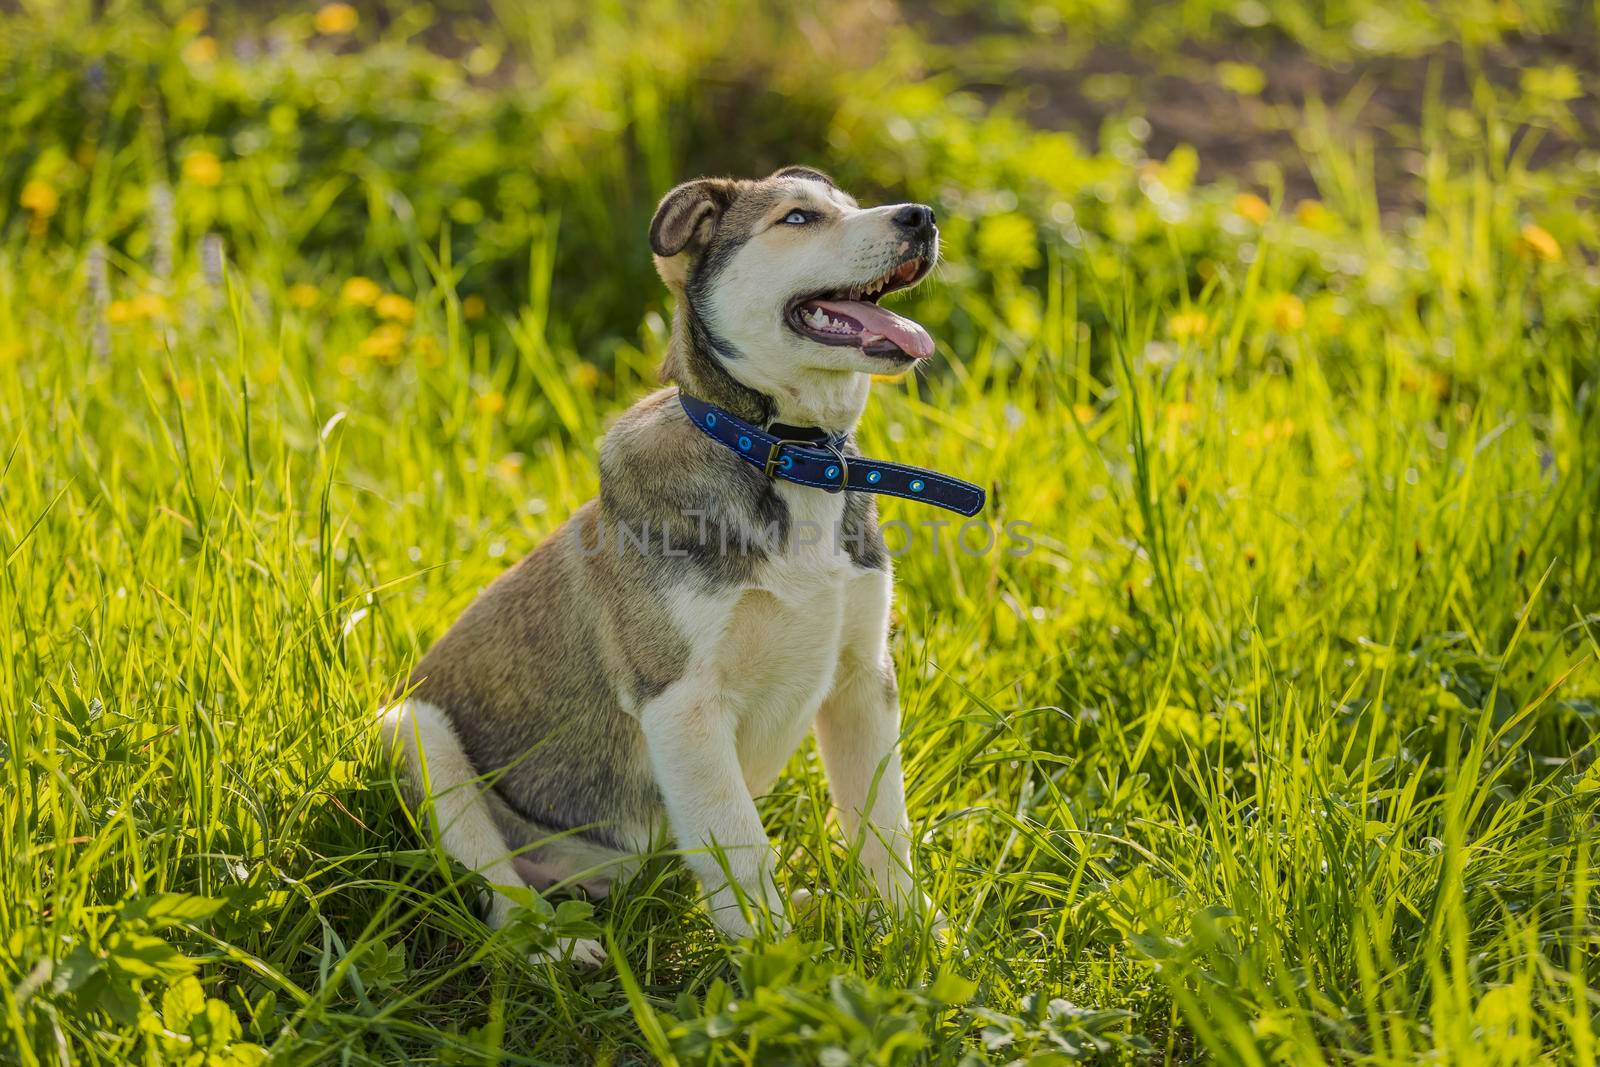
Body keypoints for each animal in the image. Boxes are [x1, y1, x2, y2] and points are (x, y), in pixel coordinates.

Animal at [385, 167, 979, 966]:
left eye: (853, 206)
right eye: (799, 218)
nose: (922, 217)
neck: (788, 455)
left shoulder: (862, 677)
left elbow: (884, 826)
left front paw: (915, 936)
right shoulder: (682, 702)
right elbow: (743, 847)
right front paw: (777, 968)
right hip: (411, 733)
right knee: (501, 899)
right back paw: (561, 947)